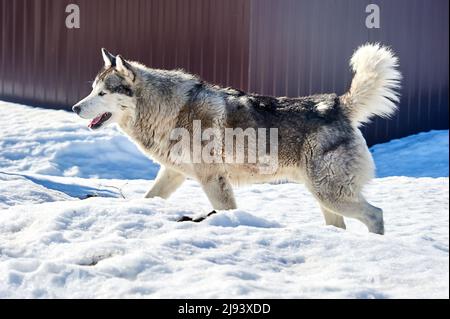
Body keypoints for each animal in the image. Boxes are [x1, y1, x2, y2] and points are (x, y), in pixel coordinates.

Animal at [74, 43, 400, 235]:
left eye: (103, 93)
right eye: (92, 90)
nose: (76, 108)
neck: (169, 110)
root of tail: (337, 104)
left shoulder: (212, 178)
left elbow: (226, 210)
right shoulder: (173, 173)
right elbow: (150, 197)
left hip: (330, 194)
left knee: (377, 214)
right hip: (323, 198)